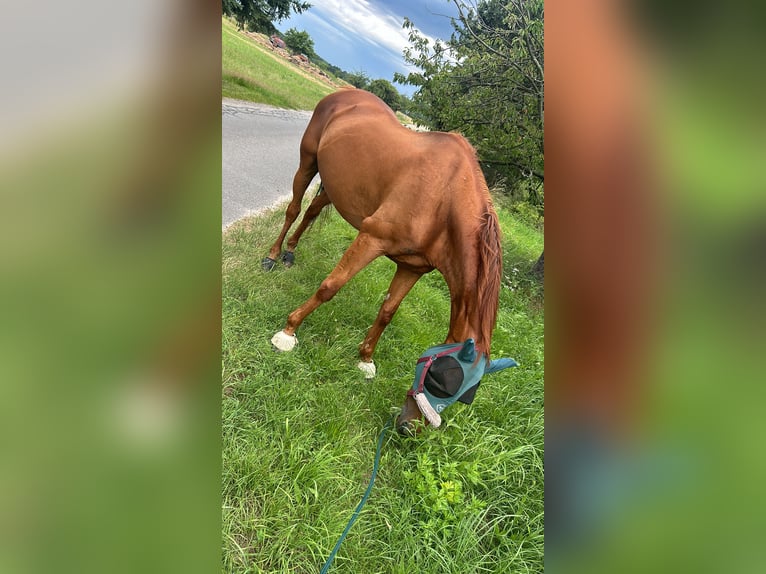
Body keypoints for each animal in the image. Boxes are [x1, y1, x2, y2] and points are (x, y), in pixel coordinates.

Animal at [264, 89, 504, 432]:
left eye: (465, 396)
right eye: (441, 380)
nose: (408, 427)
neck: (443, 198)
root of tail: (344, 94)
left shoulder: (411, 267)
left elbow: (388, 312)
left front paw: (365, 360)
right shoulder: (371, 238)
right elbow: (330, 287)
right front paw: (288, 332)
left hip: (336, 183)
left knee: (310, 211)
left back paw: (290, 252)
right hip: (308, 160)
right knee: (294, 209)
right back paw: (272, 256)